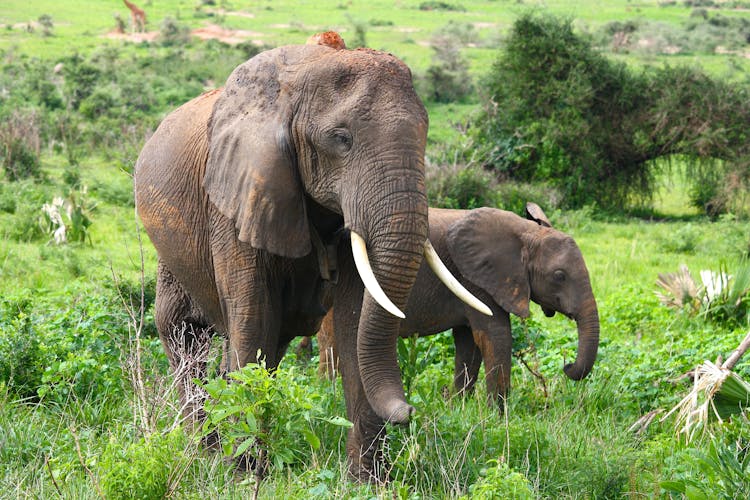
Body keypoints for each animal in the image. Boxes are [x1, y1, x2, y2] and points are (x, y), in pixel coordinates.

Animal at [134, 40, 488, 480]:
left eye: (425, 135)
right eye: (341, 139)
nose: (410, 410)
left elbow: (355, 322)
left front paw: (368, 480)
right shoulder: (236, 196)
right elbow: (252, 316)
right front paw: (246, 473)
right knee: (184, 333)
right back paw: (206, 450)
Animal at [320, 203, 604, 406]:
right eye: (559, 276)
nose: (567, 367)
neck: (528, 232)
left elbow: (469, 343)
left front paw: (460, 406)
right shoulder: (476, 279)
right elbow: (496, 336)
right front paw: (498, 415)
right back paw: (328, 393)